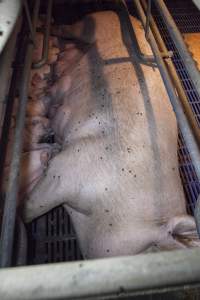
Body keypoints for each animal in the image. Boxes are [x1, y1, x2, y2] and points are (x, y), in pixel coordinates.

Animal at [22, 11, 200, 258]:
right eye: (152, 250)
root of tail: (125, 15)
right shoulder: (71, 167)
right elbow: (32, 207)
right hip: (89, 26)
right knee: (67, 28)